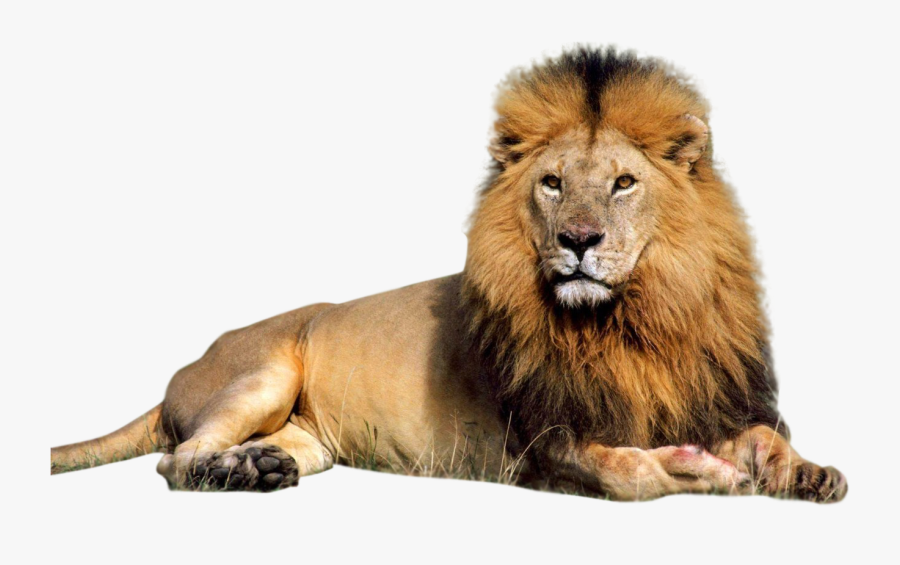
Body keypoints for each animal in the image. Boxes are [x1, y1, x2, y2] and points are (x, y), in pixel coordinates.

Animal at [50, 47, 847, 502]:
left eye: (623, 183)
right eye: (553, 183)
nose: (578, 240)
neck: (631, 321)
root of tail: (178, 375)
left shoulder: (702, 392)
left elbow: (767, 437)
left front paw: (808, 472)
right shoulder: (543, 444)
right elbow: (633, 474)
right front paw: (699, 471)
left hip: (309, 436)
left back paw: (259, 467)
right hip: (263, 372)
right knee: (176, 458)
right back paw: (227, 474)